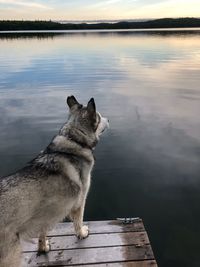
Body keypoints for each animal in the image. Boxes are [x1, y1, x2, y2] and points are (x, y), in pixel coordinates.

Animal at [0, 96, 108, 267]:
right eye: (100, 115)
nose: (109, 119)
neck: (74, 140)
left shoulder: (45, 215)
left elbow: (42, 234)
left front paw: (43, 248)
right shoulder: (80, 201)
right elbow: (78, 222)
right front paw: (82, 233)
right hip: (12, 255)